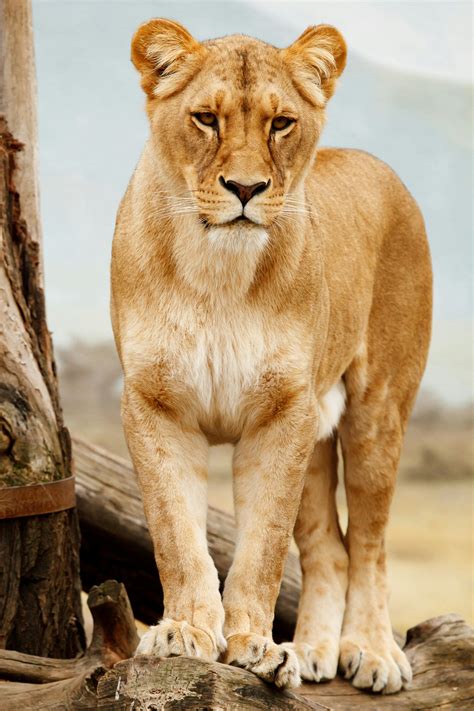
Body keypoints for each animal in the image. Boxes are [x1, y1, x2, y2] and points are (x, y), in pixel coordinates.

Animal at [111, 18, 432, 693]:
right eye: (206, 118)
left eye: (281, 123)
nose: (245, 188)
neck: (218, 272)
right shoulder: (155, 404)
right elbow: (177, 534)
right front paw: (184, 632)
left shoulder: (282, 413)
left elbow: (262, 546)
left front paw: (254, 646)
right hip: (317, 431)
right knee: (329, 548)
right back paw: (311, 651)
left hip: (376, 412)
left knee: (369, 542)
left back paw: (372, 651)